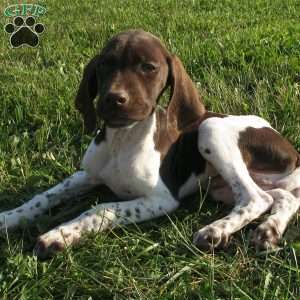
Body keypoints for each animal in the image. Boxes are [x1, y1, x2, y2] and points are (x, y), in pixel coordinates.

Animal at [0, 29, 300, 258]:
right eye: (105, 65)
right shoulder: (87, 175)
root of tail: (291, 149)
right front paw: (9, 216)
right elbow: (43, 197)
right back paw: (269, 231)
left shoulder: (161, 199)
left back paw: (216, 231)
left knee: (256, 198)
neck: (122, 140)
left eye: (148, 67)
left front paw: (59, 234)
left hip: (211, 128)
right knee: (282, 197)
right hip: (224, 186)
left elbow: (101, 209)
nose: (113, 99)